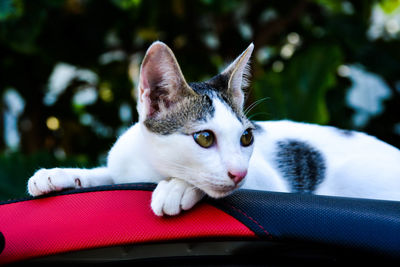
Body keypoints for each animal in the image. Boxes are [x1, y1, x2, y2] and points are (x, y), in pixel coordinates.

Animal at [27, 42, 400, 218]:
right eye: (204, 137)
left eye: (247, 137)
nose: (238, 173)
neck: (154, 168)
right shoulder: (123, 165)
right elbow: (105, 174)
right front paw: (59, 174)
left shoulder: (267, 180)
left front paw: (178, 187)